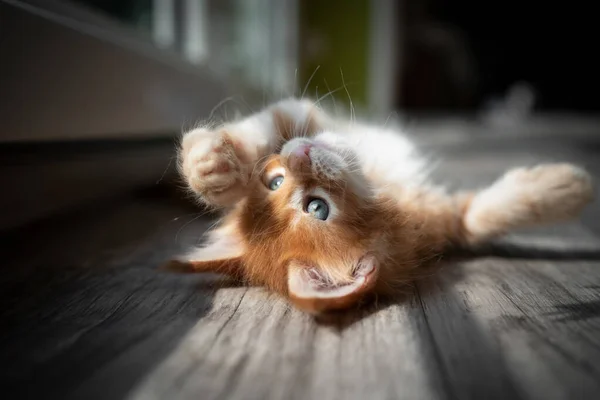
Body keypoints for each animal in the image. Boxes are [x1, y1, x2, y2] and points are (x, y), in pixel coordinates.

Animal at [170, 98, 596, 314]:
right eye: (318, 208)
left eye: (275, 181)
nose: (298, 155)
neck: (374, 179)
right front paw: (571, 188)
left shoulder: (302, 115)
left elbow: (267, 121)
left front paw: (213, 164)